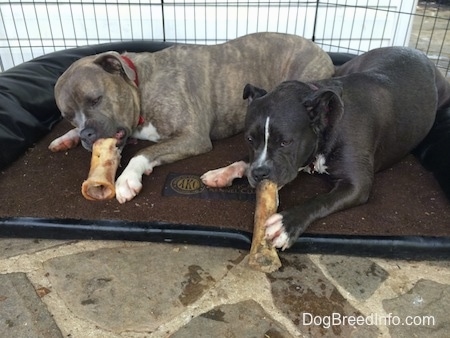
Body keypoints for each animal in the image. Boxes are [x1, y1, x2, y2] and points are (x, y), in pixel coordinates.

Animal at [50, 31, 334, 202]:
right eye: (68, 116)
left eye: (96, 99)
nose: (86, 133)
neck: (140, 87)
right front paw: (67, 137)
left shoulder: (192, 137)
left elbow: (142, 152)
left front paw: (127, 179)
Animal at [202, 46, 450, 250]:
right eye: (249, 139)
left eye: (285, 142)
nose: (260, 173)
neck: (324, 120)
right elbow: (246, 161)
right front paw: (223, 172)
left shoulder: (356, 185)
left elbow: (320, 200)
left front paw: (285, 224)